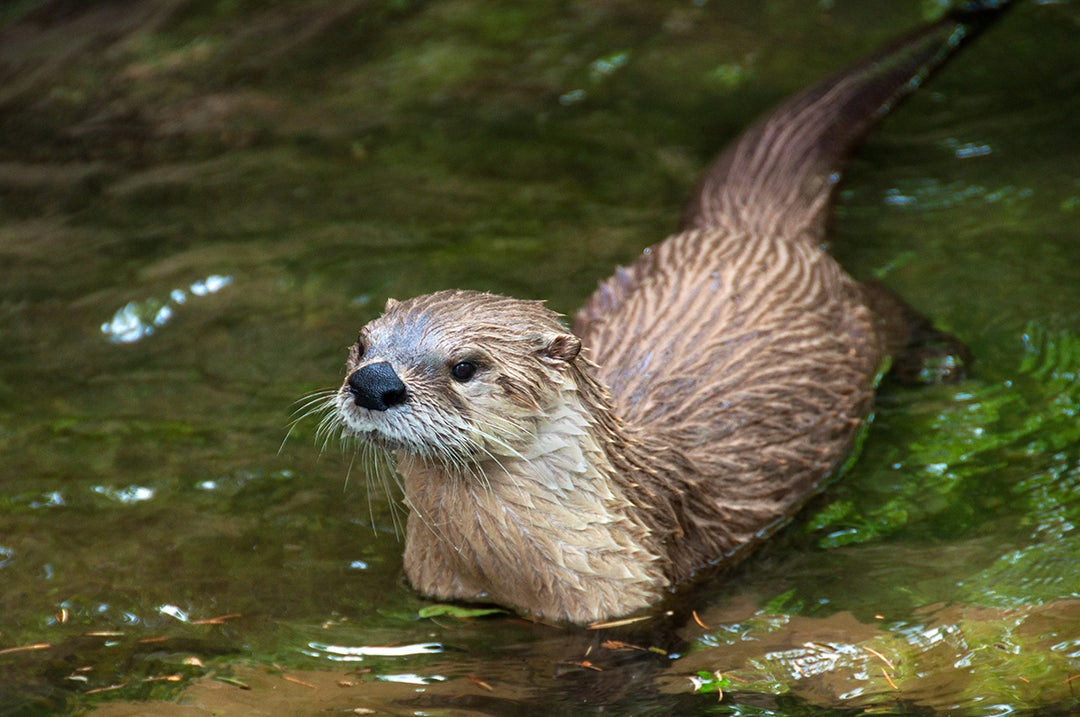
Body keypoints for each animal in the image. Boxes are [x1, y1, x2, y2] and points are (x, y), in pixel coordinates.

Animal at [328, 4, 1002, 621]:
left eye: (465, 366)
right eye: (362, 345)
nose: (373, 383)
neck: (511, 577)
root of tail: (745, 228)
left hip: (854, 312)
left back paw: (940, 360)